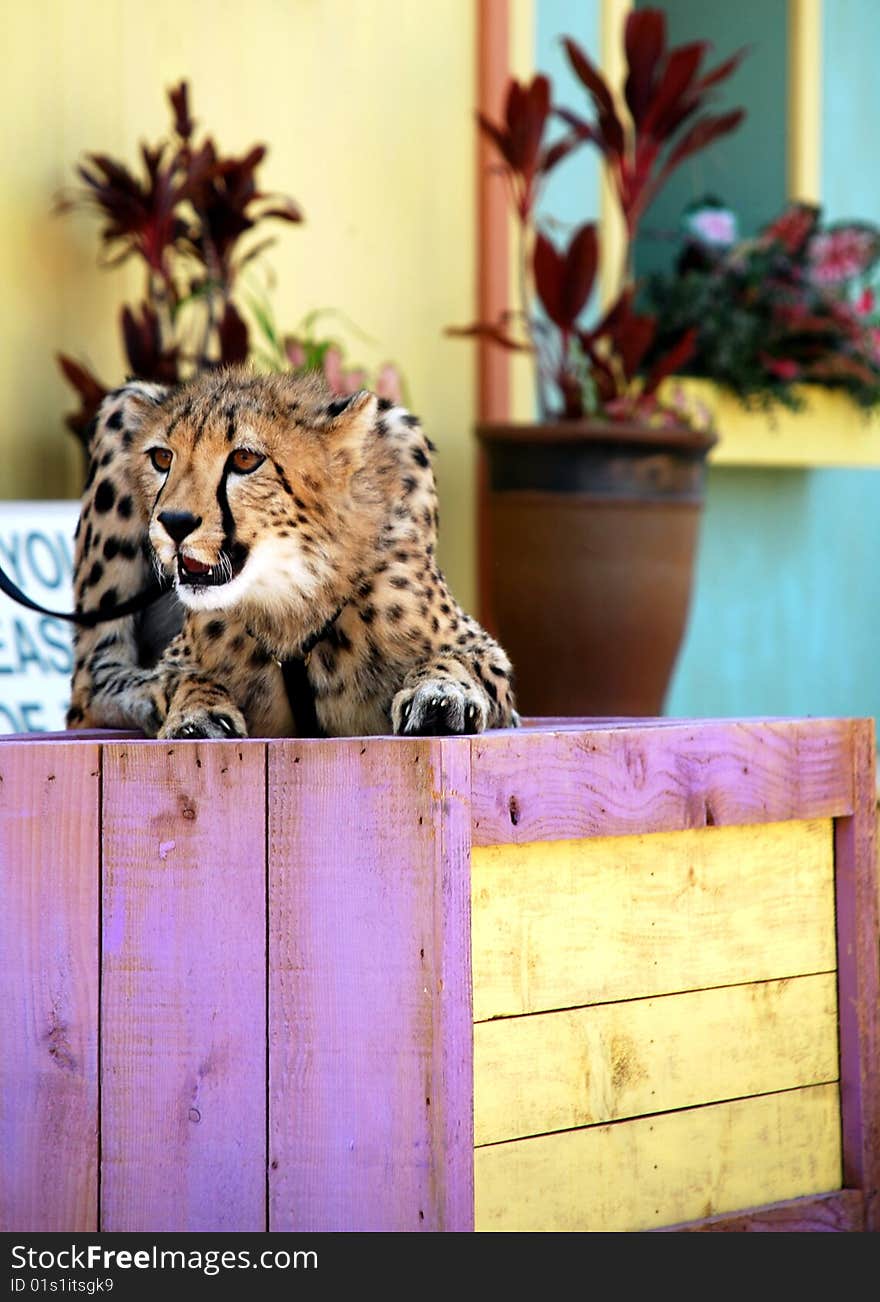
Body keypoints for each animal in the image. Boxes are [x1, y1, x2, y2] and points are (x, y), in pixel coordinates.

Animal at [68, 367, 518, 739]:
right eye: (162, 457)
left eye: (245, 459)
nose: (174, 522)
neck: (290, 597)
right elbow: (179, 677)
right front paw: (194, 709)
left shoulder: (493, 673)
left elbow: (460, 660)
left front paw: (442, 692)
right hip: (123, 400)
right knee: (89, 683)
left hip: (401, 426)